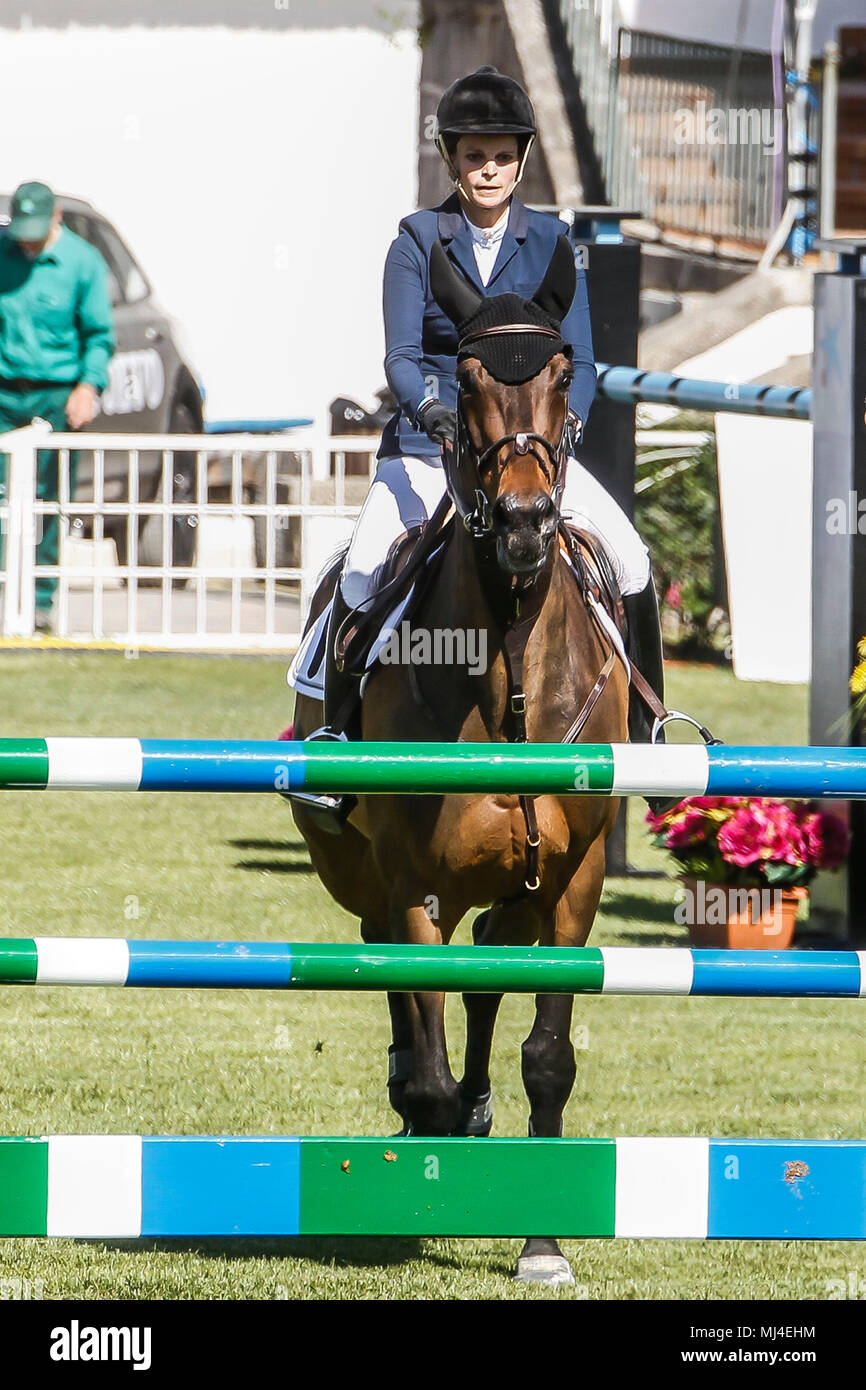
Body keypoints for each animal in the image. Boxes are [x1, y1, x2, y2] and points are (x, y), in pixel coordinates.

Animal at [291, 233, 631, 1284]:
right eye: (470, 378)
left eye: (560, 373)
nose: (524, 525)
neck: (509, 665)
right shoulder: (415, 882)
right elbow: (429, 1043)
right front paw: (428, 1132)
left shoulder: (576, 881)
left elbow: (547, 1059)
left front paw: (543, 1245)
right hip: (360, 870)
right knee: (395, 973)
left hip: (518, 884)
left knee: (487, 974)